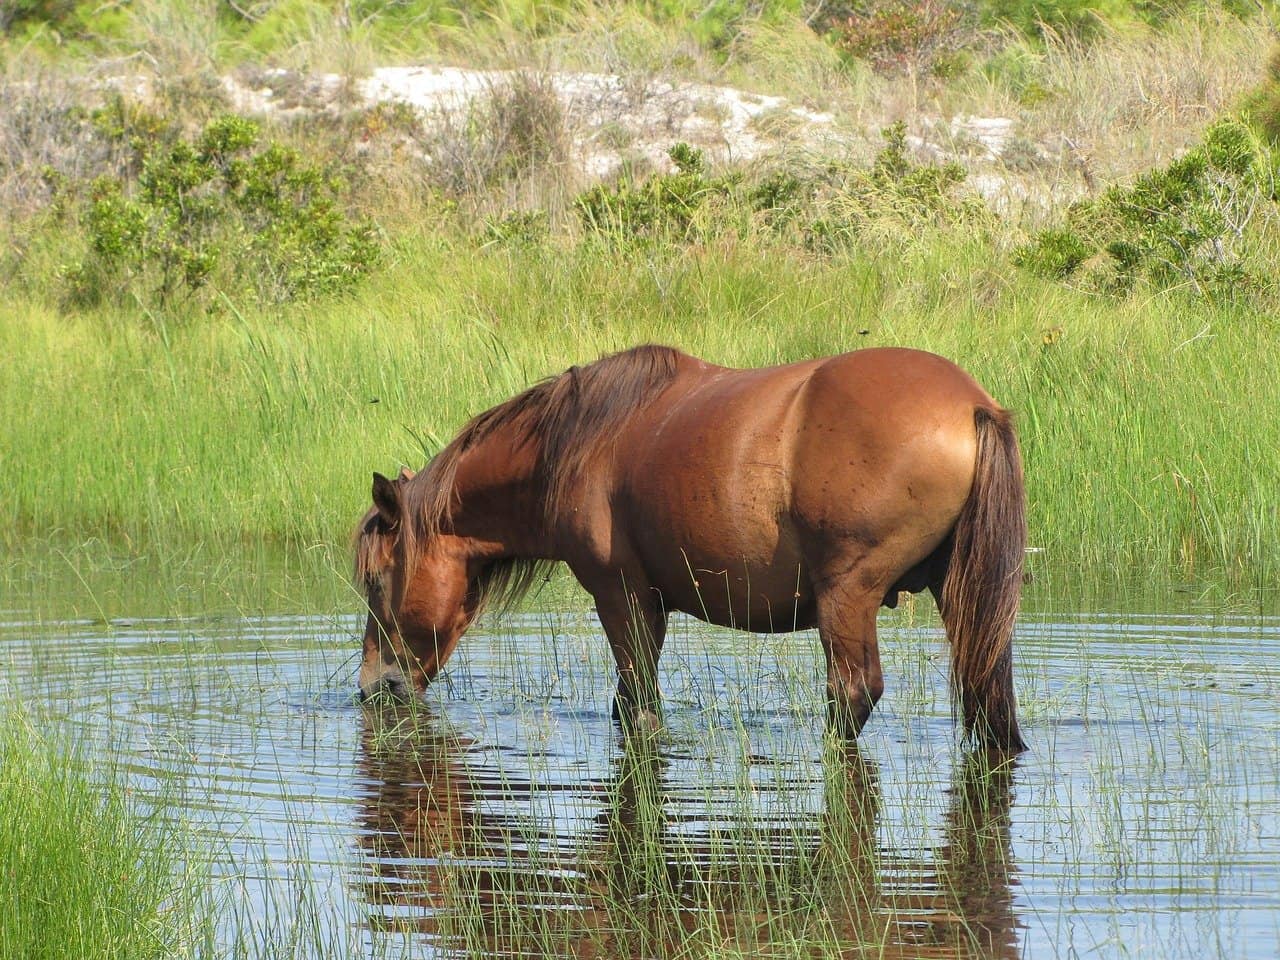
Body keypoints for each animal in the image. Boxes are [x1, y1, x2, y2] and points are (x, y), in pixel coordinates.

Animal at [353, 345, 1029, 752]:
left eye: (375, 580)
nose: (373, 686)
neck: (574, 444)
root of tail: (973, 406)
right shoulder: (650, 604)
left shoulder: (620, 595)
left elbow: (638, 707)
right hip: (964, 596)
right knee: (989, 699)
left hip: (848, 596)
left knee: (852, 695)